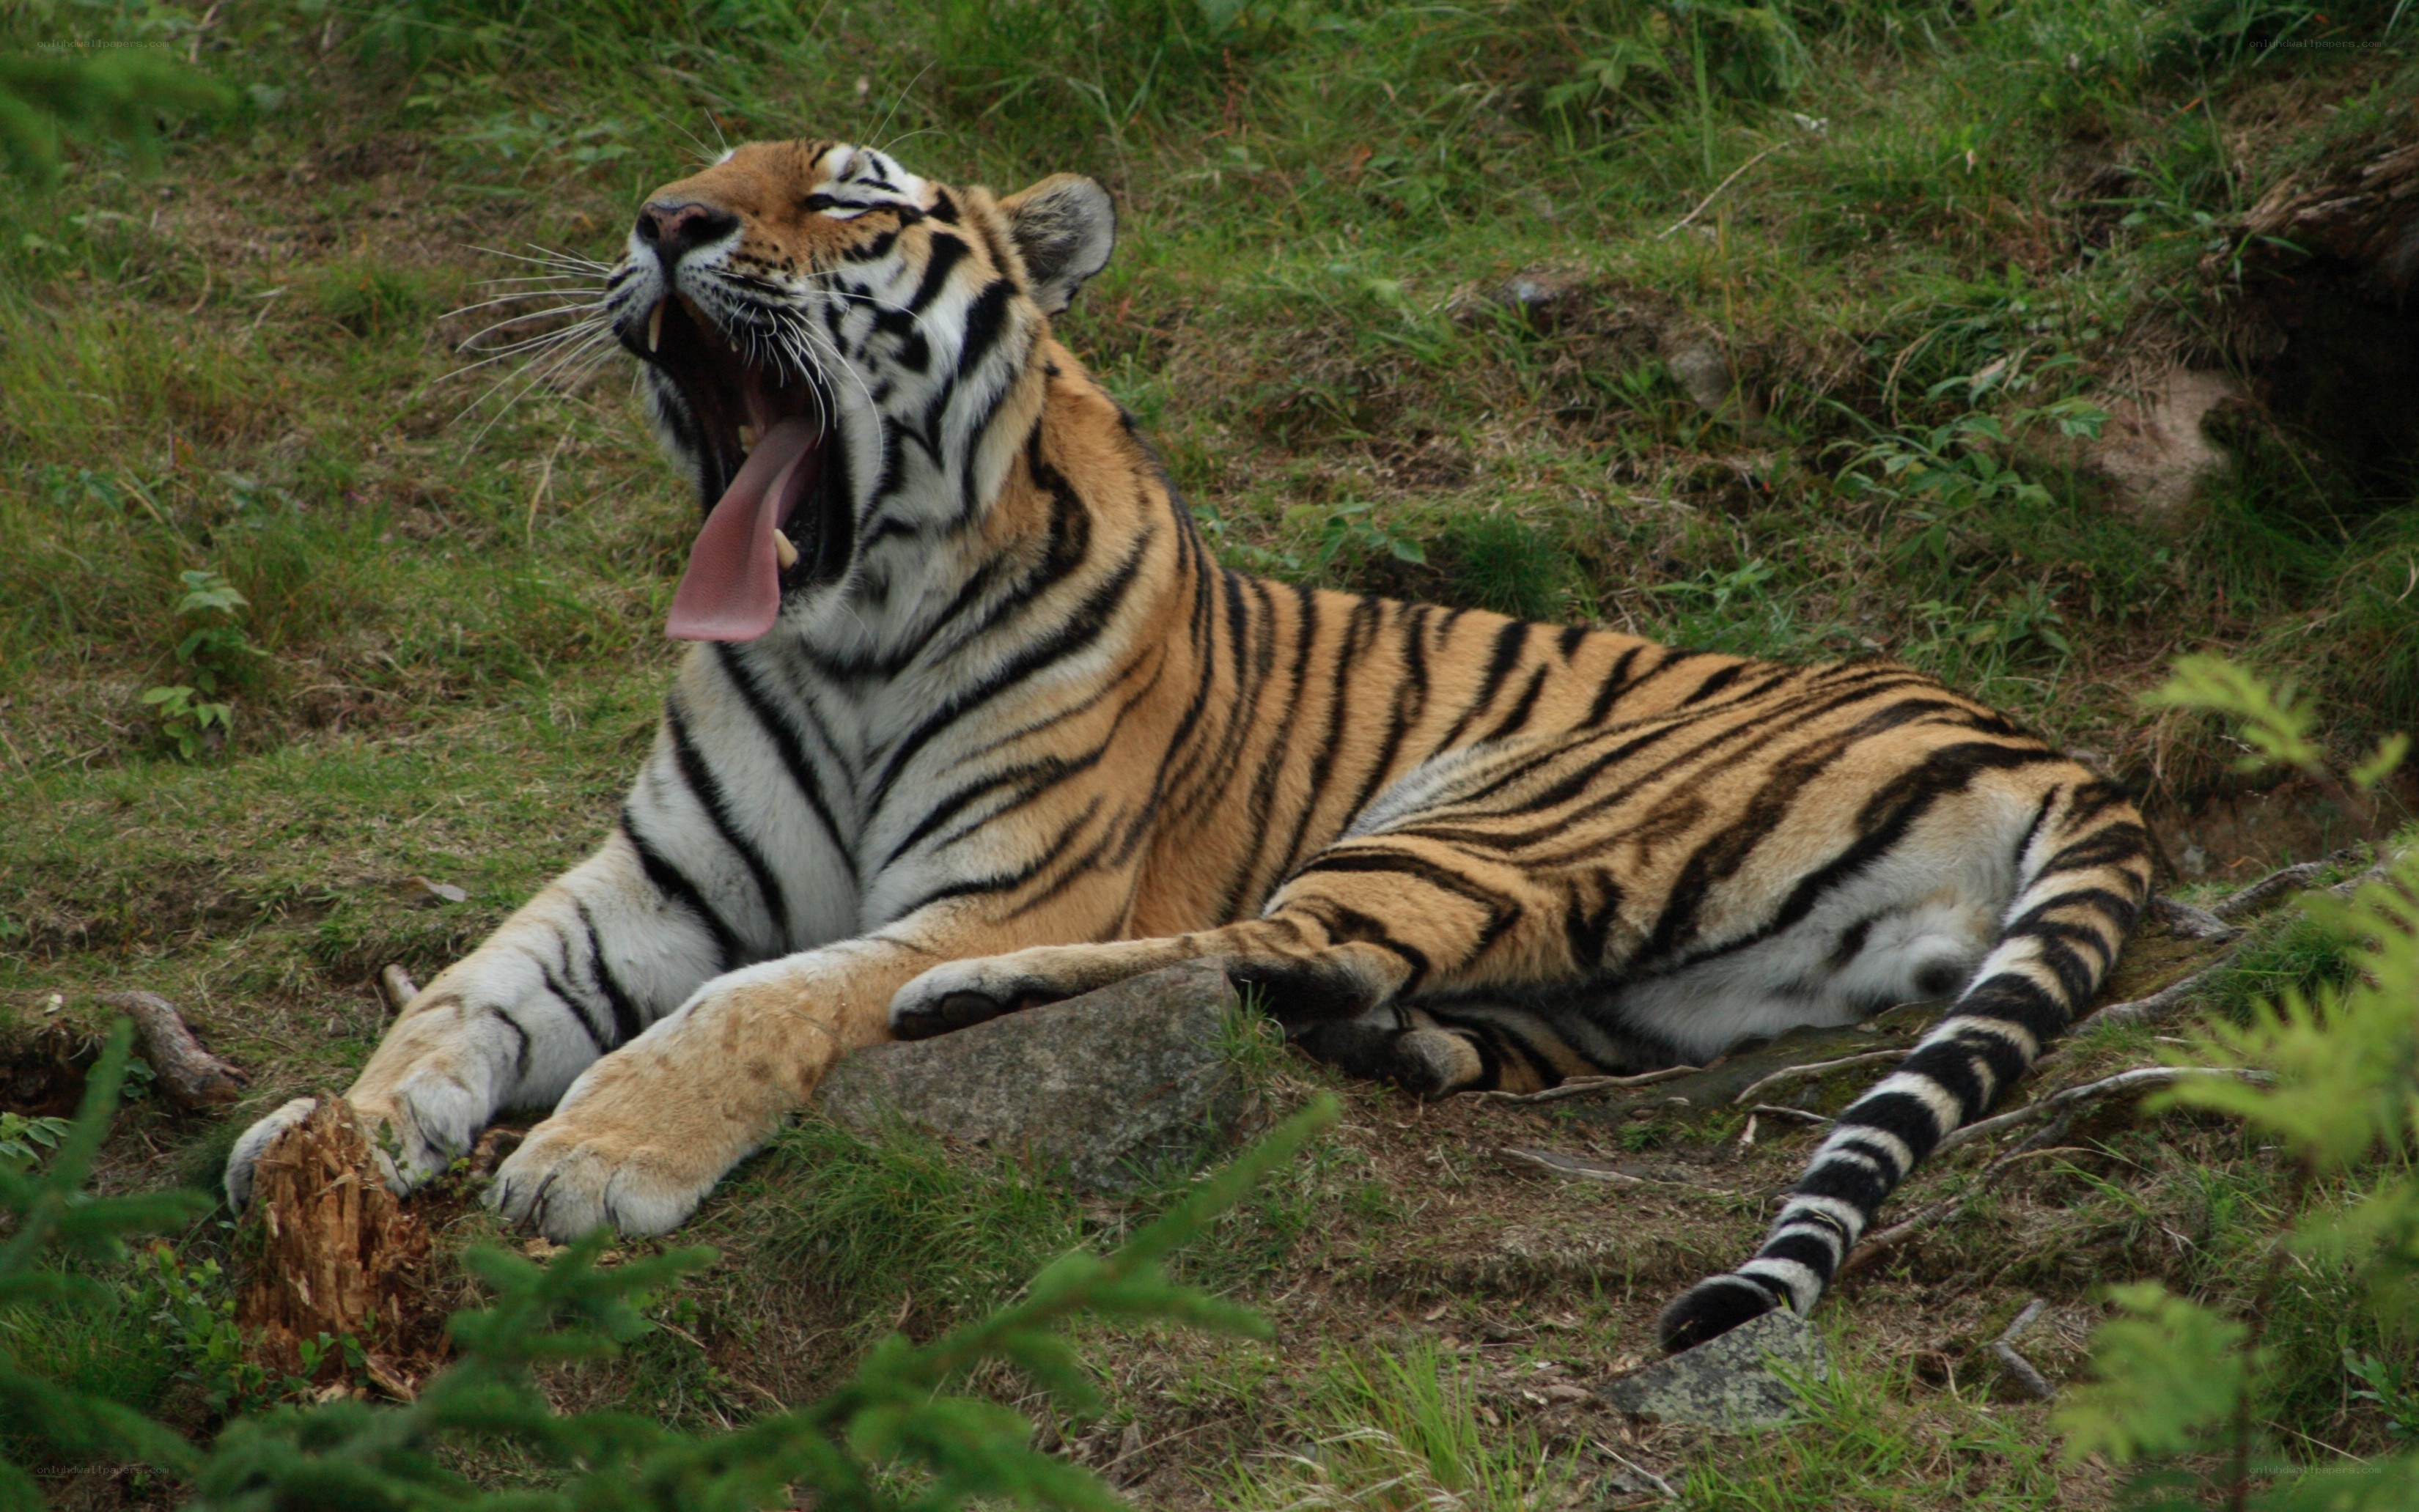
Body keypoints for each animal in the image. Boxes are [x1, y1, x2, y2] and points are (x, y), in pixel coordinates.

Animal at [224, 138, 2151, 1353]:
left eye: (843, 199)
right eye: (690, 179)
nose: (663, 221)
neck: (841, 621)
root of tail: (2042, 740)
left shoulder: (1002, 880)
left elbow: (756, 1000)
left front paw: (592, 1159)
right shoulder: (647, 883)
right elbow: (460, 992)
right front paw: (327, 1138)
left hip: (1499, 804)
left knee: (1238, 942)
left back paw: (985, 1006)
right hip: (1664, 983)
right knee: (1373, 979)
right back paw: (1397, 1049)